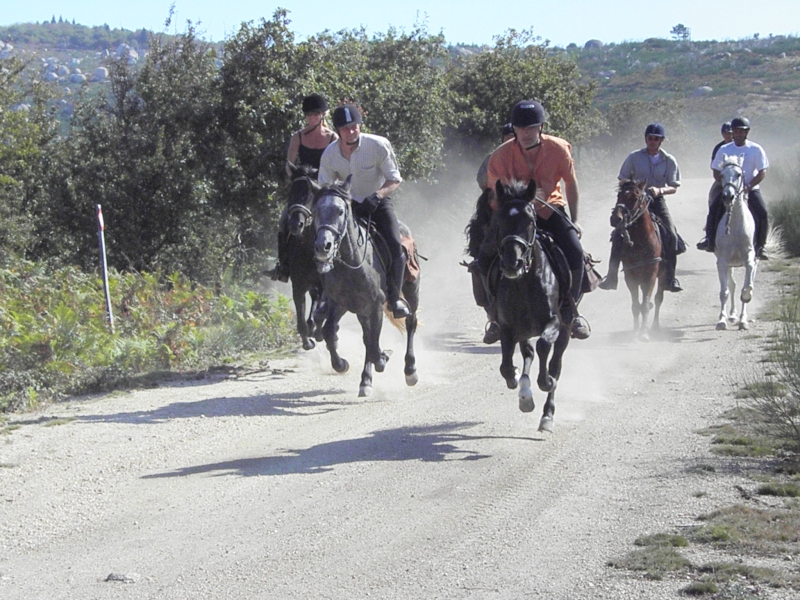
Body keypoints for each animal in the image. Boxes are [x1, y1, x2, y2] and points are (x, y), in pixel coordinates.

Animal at [494, 178, 568, 432]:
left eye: (530, 221)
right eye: (499, 219)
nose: (512, 263)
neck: (524, 283)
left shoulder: (555, 321)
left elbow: (544, 346)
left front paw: (545, 382)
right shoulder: (507, 327)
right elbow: (506, 366)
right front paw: (516, 379)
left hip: (566, 328)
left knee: (555, 362)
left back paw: (547, 415)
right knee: (527, 353)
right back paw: (525, 395)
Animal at [608, 178, 664, 338]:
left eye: (634, 197)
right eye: (619, 195)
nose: (615, 219)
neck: (640, 241)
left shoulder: (651, 275)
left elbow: (645, 304)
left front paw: (644, 333)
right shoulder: (630, 275)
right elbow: (635, 305)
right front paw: (635, 332)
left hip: (663, 275)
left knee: (658, 299)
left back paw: (655, 326)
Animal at [712, 155, 756, 330]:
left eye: (738, 174)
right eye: (722, 174)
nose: (728, 196)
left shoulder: (749, 256)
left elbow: (747, 285)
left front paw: (747, 297)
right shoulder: (723, 261)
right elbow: (724, 291)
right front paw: (722, 320)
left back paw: (742, 319)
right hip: (729, 264)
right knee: (732, 285)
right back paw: (731, 315)